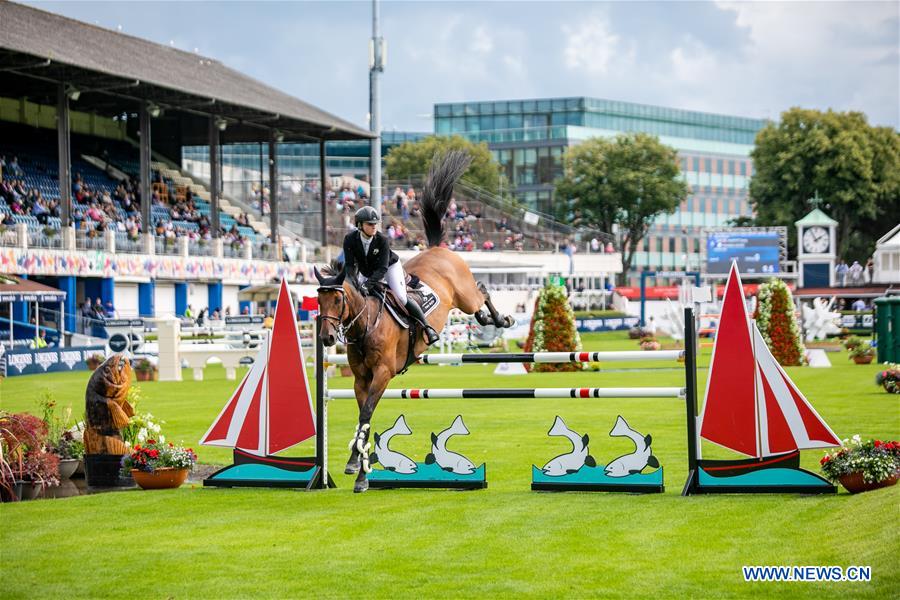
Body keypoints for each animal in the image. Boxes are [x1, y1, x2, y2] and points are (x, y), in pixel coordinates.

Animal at [314, 152, 512, 494]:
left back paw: (498, 318)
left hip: (464, 295)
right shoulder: (360, 379)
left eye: (338, 301)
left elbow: (366, 414)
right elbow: (364, 416)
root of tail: (436, 248)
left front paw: (360, 474)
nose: (326, 338)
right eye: (318, 301)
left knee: (482, 290)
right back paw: (489, 319)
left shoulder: (382, 373)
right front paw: (356, 466)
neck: (366, 326)